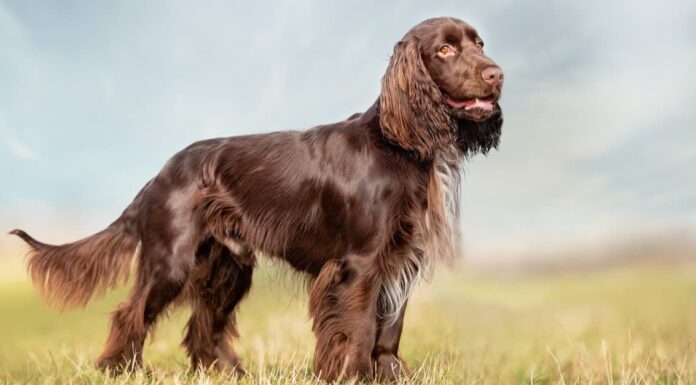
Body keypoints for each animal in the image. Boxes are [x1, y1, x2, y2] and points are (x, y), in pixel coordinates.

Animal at [10, 17, 502, 380]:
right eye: (445, 50)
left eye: (479, 43)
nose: (497, 74)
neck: (399, 143)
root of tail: (159, 176)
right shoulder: (360, 263)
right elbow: (360, 326)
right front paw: (355, 376)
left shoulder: (400, 259)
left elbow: (389, 330)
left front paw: (389, 376)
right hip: (172, 261)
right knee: (130, 313)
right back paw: (122, 370)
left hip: (227, 266)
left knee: (203, 326)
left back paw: (227, 373)